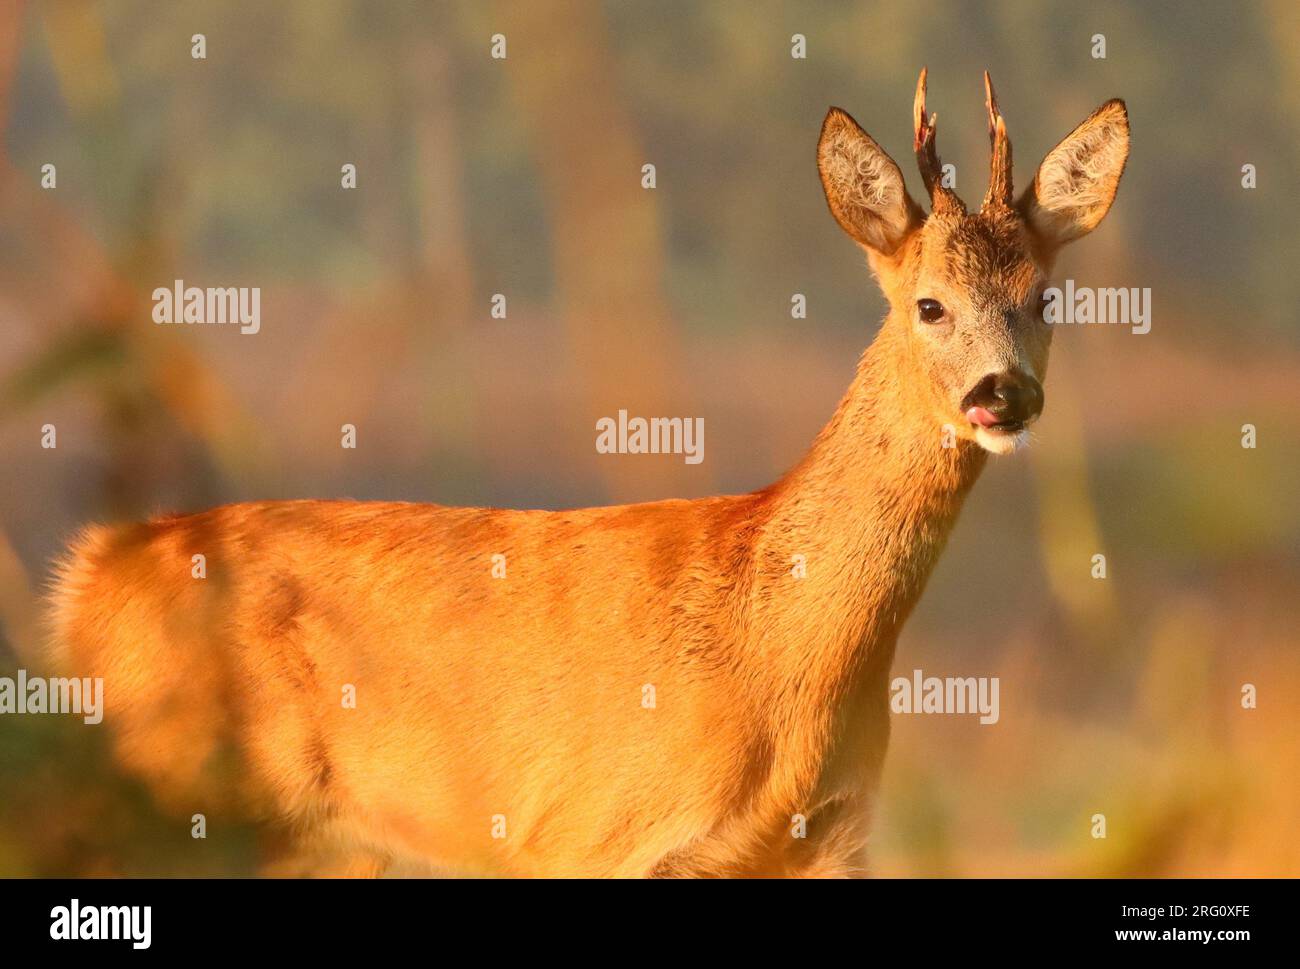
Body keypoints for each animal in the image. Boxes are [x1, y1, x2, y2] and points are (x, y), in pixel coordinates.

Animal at [48, 69, 1128, 879]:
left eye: (1044, 297)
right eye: (929, 304)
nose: (1003, 393)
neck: (777, 641)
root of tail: (90, 574)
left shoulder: (829, 843)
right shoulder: (591, 829)